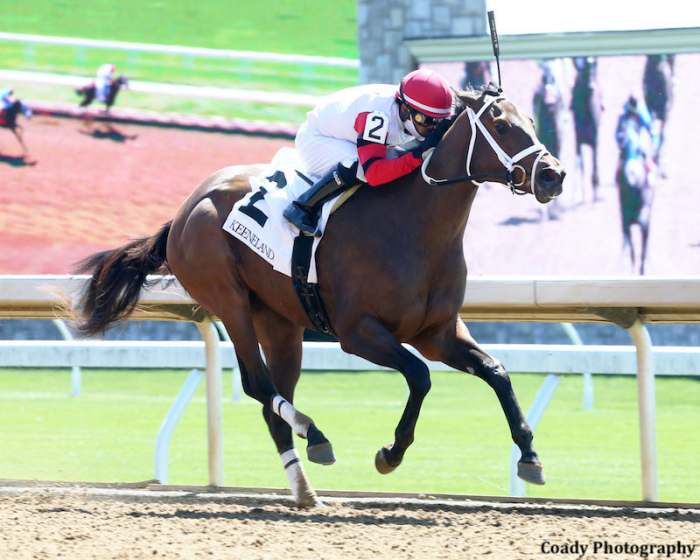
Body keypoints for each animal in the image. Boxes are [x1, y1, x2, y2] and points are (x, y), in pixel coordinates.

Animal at [73, 86, 565, 507]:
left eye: (532, 120)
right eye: (500, 124)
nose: (553, 175)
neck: (413, 228)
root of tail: (183, 211)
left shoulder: (438, 332)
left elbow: (496, 372)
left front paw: (530, 456)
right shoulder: (359, 332)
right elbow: (420, 376)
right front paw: (390, 453)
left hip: (279, 322)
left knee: (273, 401)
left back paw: (305, 488)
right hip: (228, 300)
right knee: (258, 385)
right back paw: (315, 434)